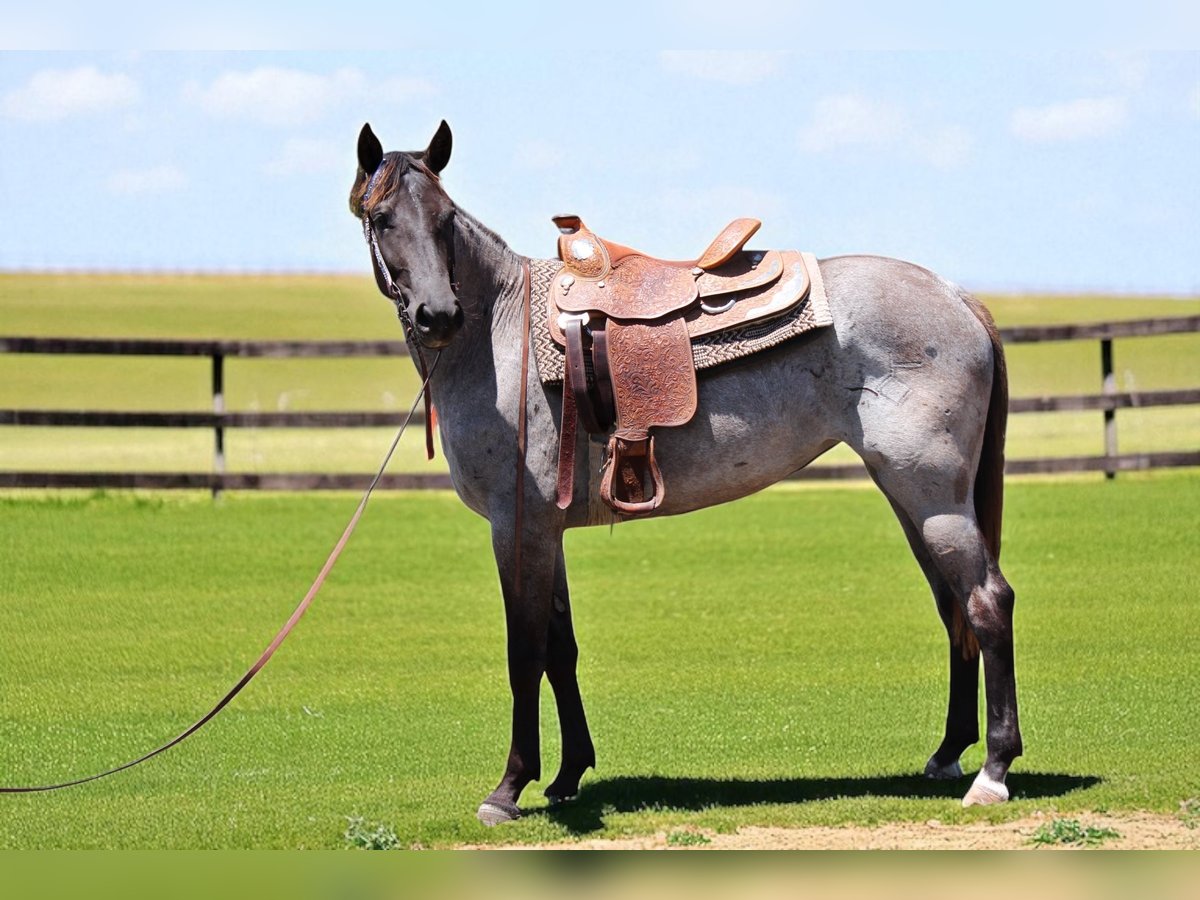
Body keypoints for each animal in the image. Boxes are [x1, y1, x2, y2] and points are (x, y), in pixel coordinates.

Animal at [349, 120, 1022, 825]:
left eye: (445, 218)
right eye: (384, 218)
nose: (439, 315)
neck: (501, 337)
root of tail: (956, 296)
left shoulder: (517, 528)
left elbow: (525, 652)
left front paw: (510, 788)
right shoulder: (545, 534)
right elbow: (561, 649)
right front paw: (567, 774)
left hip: (934, 499)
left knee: (987, 602)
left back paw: (994, 771)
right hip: (913, 499)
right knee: (954, 608)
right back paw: (949, 754)